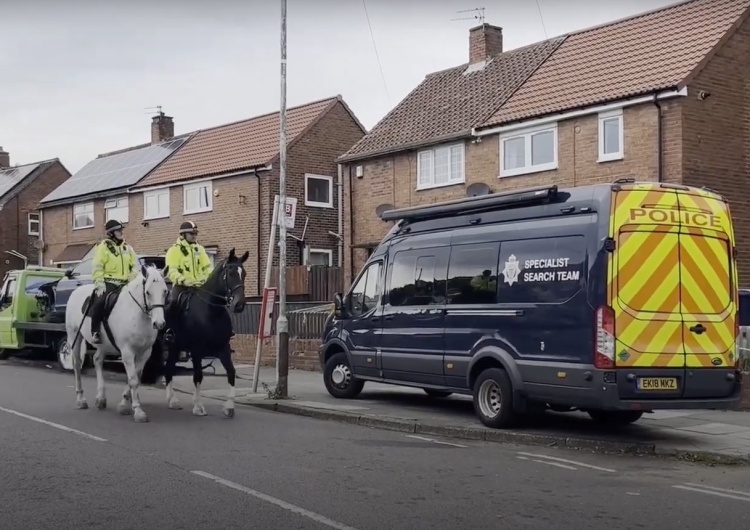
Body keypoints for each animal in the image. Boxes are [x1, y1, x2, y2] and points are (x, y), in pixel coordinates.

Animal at [65, 262, 170, 420]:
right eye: (148, 292)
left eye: (165, 291)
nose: (159, 323)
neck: (136, 314)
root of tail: (75, 291)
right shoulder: (127, 352)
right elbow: (133, 379)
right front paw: (137, 411)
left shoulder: (144, 353)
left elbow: (135, 378)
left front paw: (124, 404)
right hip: (75, 336)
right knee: (77, 364)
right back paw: (81, 400)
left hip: (103, 345)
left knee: (97, 360)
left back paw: (101, 398)